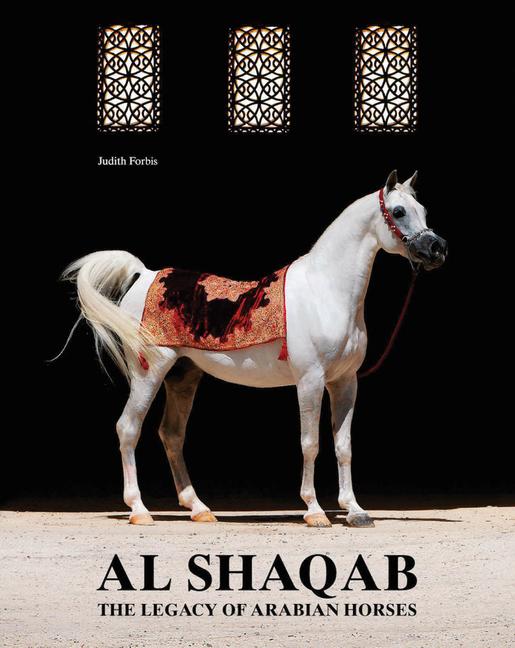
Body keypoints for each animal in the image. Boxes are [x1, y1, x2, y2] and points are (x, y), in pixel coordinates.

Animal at [62, 170, 447, 528]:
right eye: (398, 212)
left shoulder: (346, 382)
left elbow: (344, 446)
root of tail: (145, 275)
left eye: (423, 210)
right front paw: (314, 511)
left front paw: (355, 511)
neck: (325, 291)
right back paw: (139, 510)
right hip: (149, 373)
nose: (437, 249)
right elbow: (311, 443)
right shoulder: (310, 381)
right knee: (128, 428)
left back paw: (199, 509)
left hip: (183, 377)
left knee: (171, 434)